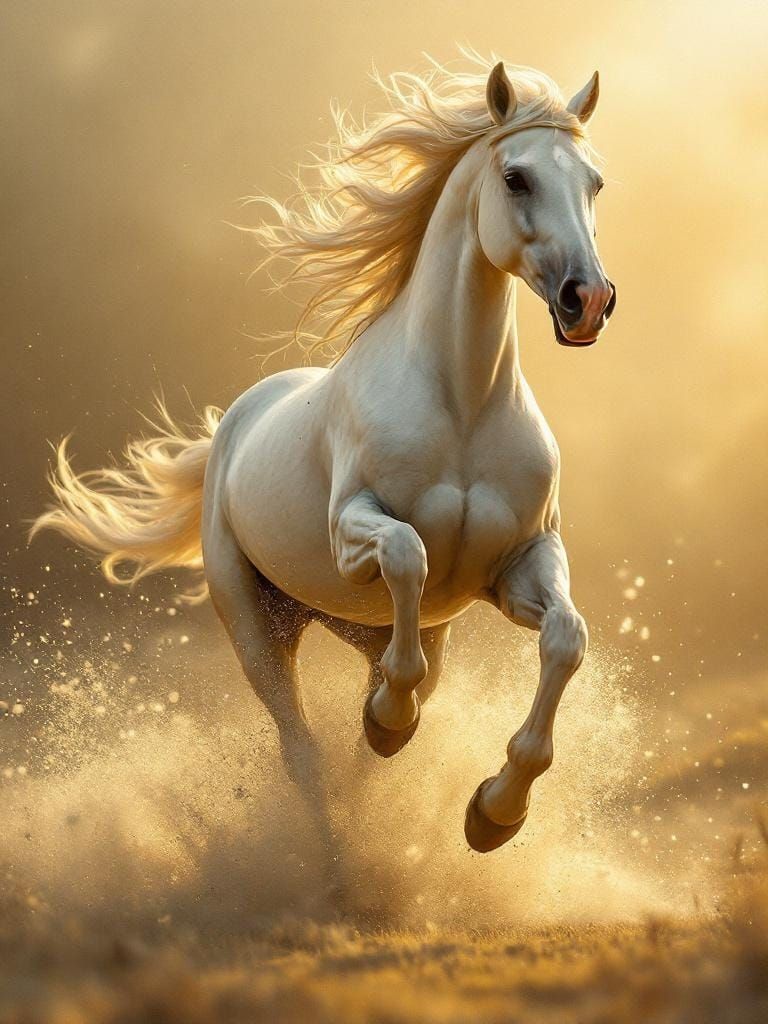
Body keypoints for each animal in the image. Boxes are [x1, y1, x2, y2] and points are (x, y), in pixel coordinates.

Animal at [33, 57, 616, 854]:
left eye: (595, 182)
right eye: (516, 177)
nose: (587, 300)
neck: (462, 406)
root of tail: (235, 423)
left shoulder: (519, 564)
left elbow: (565, 637)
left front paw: (495, 811)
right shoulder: (353, 534)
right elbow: (407, 553)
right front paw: (389, 719)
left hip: (393, 628)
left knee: (366, 744)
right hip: (257, 628)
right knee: (301, 750)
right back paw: (339, 844)